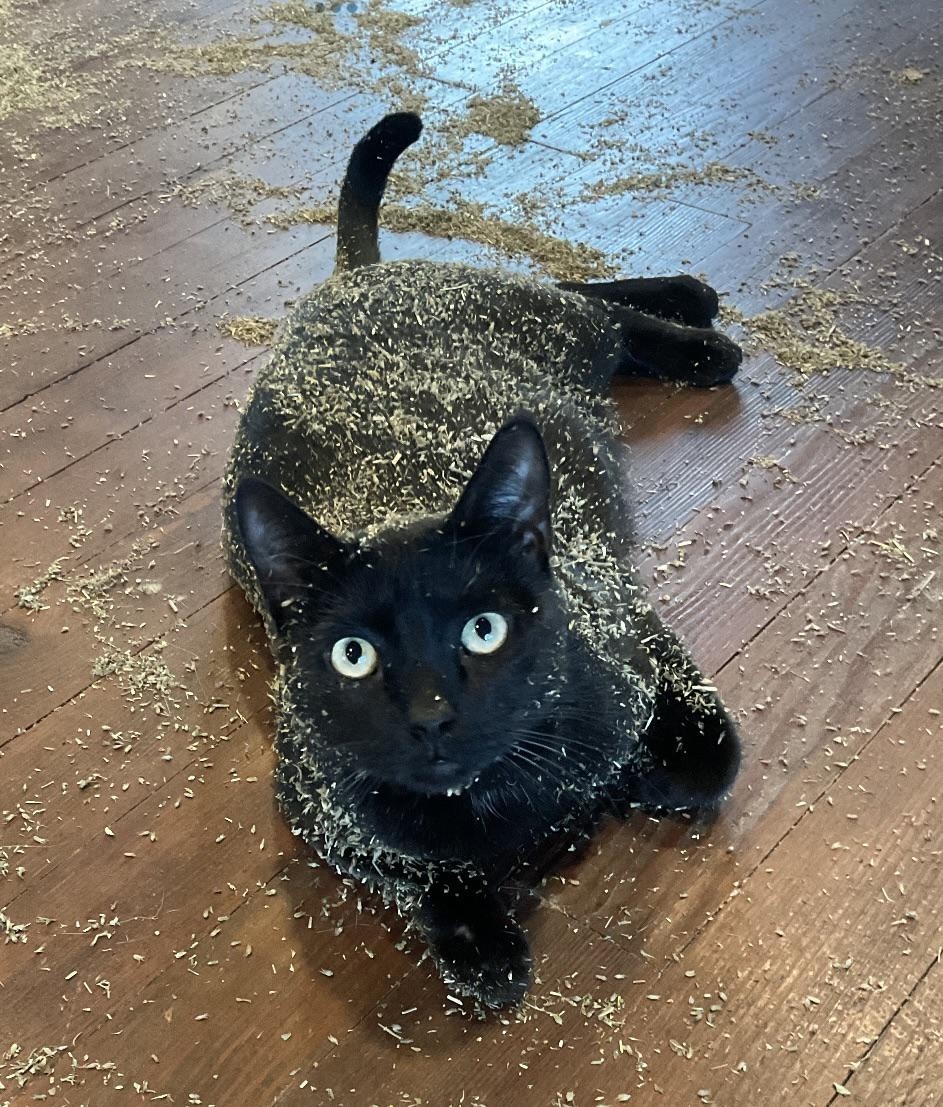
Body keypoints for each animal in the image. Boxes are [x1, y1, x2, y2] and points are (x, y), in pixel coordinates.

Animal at [222, 114, 743, 1014]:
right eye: (353, 655)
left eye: (484, 629)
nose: (431, 714)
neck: (499, 797)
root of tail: (351, 278)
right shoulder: (317, 809)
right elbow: (417, 870)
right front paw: (479, 942)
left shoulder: (635, 630)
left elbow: (707, 759)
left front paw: (635, 780)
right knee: (582, 295)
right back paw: (693, 302)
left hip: (551, 328)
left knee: (589, 302)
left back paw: (699, 326)